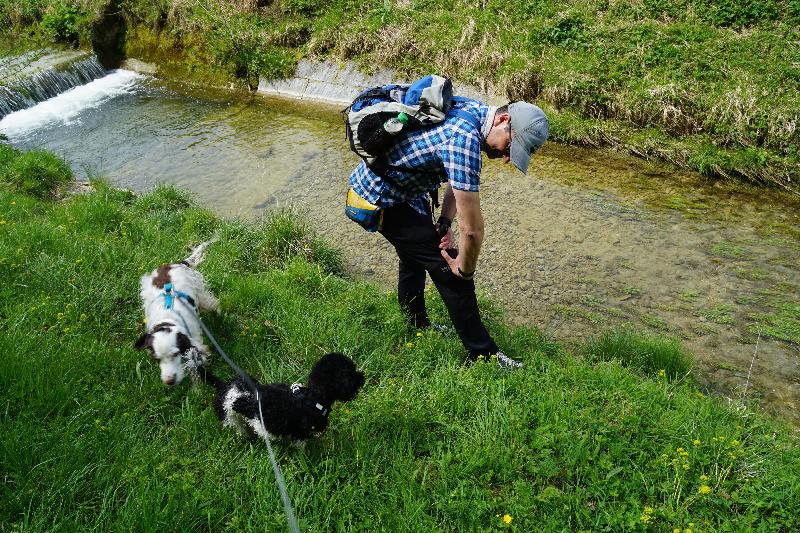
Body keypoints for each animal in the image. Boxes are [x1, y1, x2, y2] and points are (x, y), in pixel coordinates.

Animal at [134, 238, 219, 385]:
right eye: (157, 359)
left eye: (175, 354)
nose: (169, 381)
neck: (168, 318)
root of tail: (177, 263)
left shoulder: (194, 343)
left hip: (200, 293)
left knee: (212, 304)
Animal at [200, 352, 365, 444]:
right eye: (350, 375)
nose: (363, 377)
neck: (314, 397)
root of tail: (224, 386)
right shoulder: (300, 432)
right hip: (229, 417)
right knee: (239, 429)